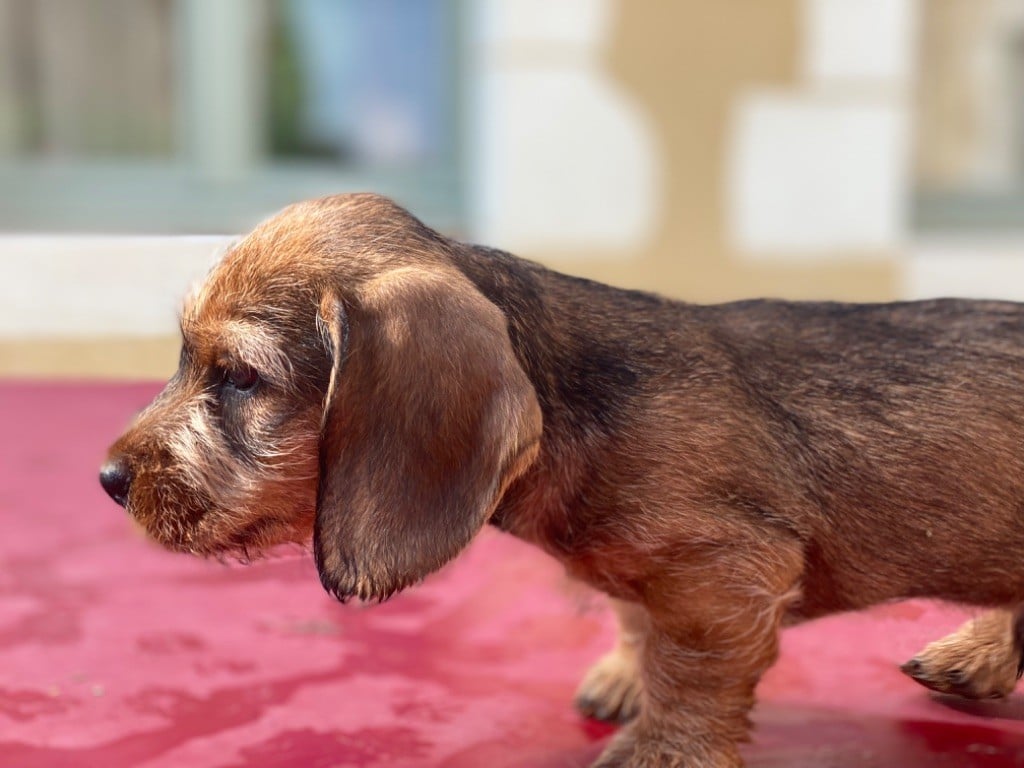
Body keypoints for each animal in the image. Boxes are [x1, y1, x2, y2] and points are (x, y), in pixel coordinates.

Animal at [101, 193, 1024, 768]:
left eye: (241, 378)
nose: (110, 478)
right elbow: (636, 622)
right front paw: (624, 673)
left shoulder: (723, 571)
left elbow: (692, 671)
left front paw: (664, 746)